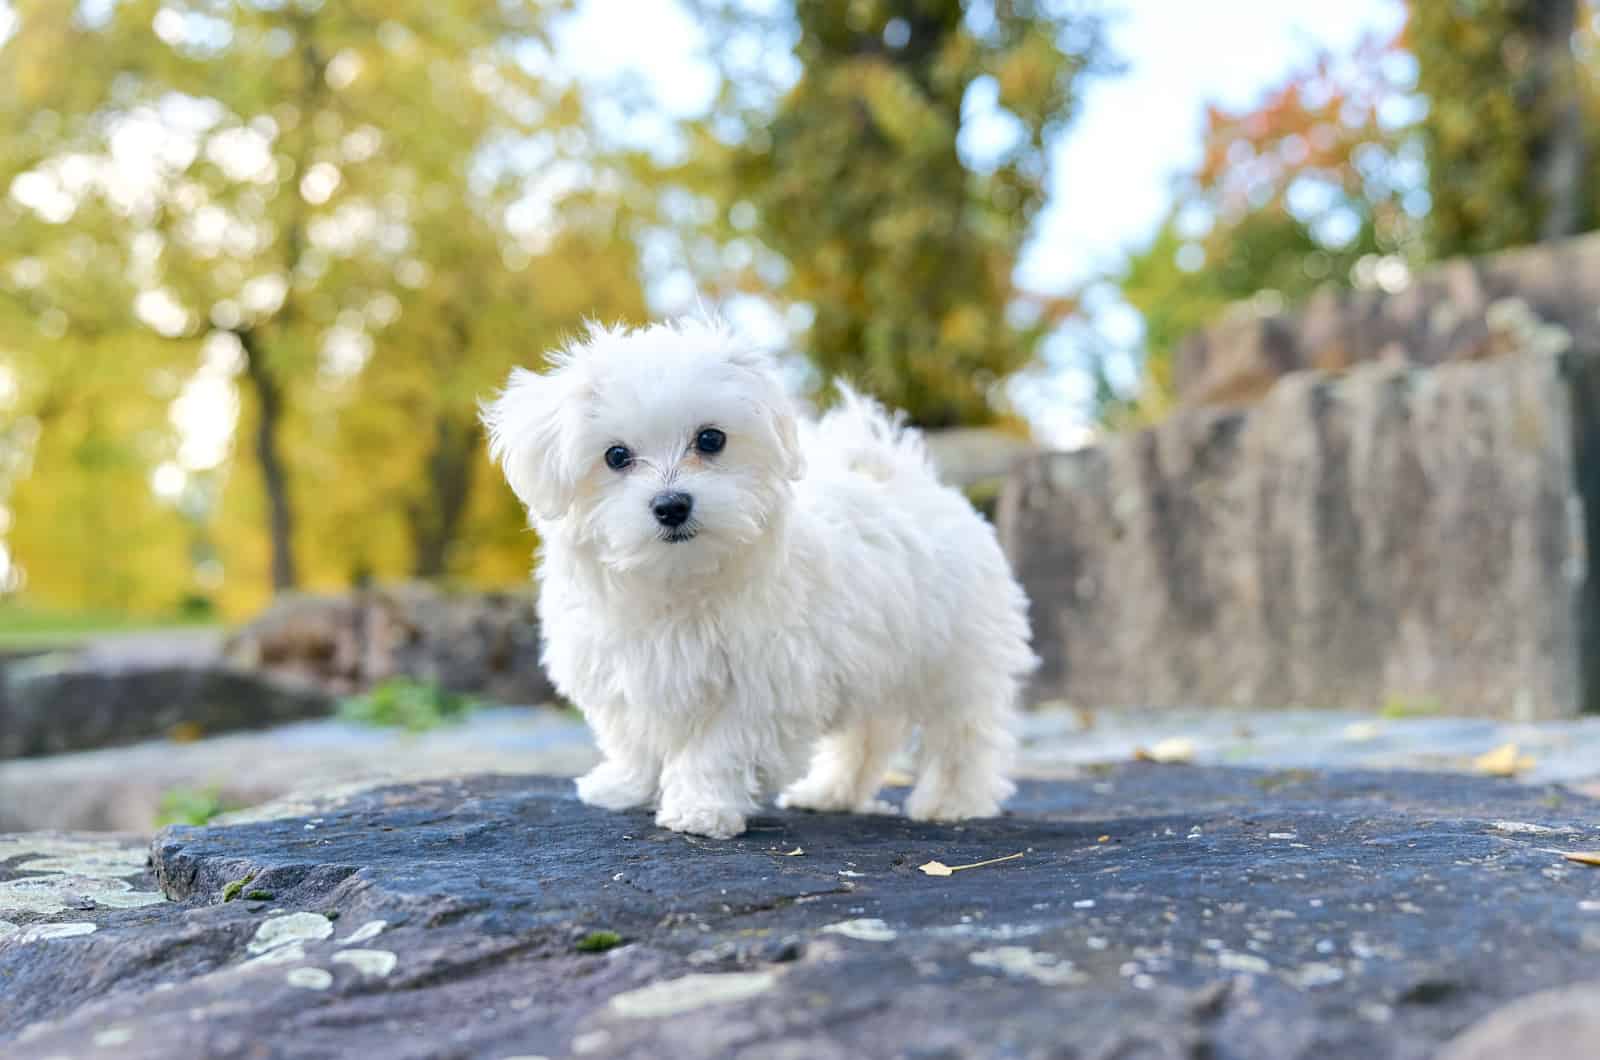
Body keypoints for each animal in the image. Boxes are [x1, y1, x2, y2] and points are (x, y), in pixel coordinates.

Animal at [480, 317, 1036, 839]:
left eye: (710, 439)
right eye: (616, 456)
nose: (672, 505)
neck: (676, 580)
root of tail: (916, 482)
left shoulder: (759, 684)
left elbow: (716, 749)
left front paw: (699, 808)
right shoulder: (620, 667)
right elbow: (631, 736)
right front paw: (624, 785)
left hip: (956, 658)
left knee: (964, 733)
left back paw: (952, 801)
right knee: (866, 736)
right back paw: (830, 792)